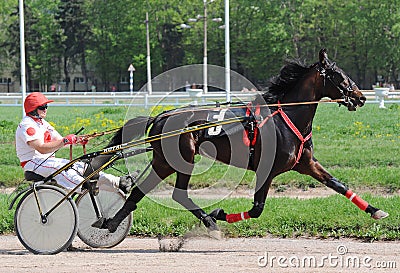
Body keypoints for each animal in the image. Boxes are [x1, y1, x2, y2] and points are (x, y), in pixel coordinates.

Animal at [96, 49, 388, 232]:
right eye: (338, 75)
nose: (361, 97)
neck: (286, 117)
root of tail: (160, 116)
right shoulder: (267, 170)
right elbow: (257, 208)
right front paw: (220, 214)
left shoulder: (306, 163)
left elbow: (338, 184)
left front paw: (376, 210)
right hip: (176, 160)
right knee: (164, 193)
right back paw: (208, 220)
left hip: (170, 161)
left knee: (150, 192)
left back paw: (112, 223)